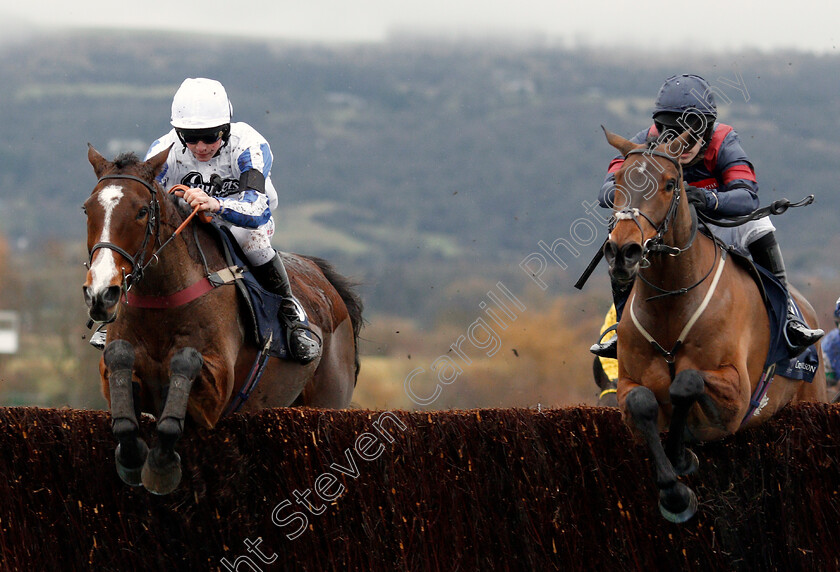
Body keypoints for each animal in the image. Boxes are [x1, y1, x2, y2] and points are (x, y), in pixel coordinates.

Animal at [82, 145, 364, 494]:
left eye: (141, 211)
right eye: (87, 210)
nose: (101, 292)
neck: (164, 298)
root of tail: (327, 283)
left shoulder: (214, 397)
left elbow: (185, 364)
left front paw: (161, 465)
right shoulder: (118, 377)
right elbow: (119, 367)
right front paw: (133, 457)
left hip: (328, 403)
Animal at [596, 127, 828, 520]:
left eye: (670, 183)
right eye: (618, 183)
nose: (623, 252)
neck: (671, 302)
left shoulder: (736, 394)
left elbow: (685, 383)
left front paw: (682, 458)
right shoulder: (628, 385)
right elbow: (643, 401)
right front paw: (674, 491)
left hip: (813, 398)